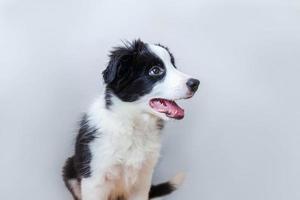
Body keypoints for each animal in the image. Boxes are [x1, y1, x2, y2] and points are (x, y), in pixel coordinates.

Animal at [62, 39, 200, 200]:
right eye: (155, 70)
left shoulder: (143, 179)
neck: (133, 125)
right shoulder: (95, 179)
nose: (196, 83)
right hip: (70, 170)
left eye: (174, 66)